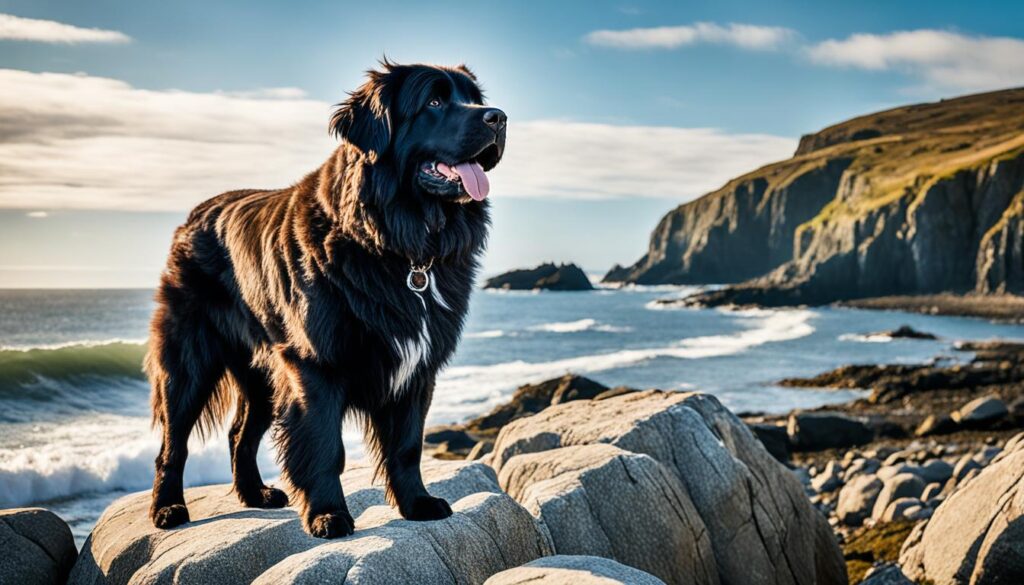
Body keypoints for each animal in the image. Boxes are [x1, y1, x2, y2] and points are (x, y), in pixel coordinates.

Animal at [146, 61, 505, 536]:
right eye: (434, 100)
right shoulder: (315, 366)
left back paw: (256, 495)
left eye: (475, 98)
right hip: (189, 360)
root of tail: (191, 218)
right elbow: (325, 446)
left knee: (240, 433)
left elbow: (407, 446)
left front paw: (417, 503)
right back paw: (167, 508)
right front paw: (328, 515)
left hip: (263, 372)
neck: (400, 245)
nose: (498, 117)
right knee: (174, 442)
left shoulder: (417, 371)